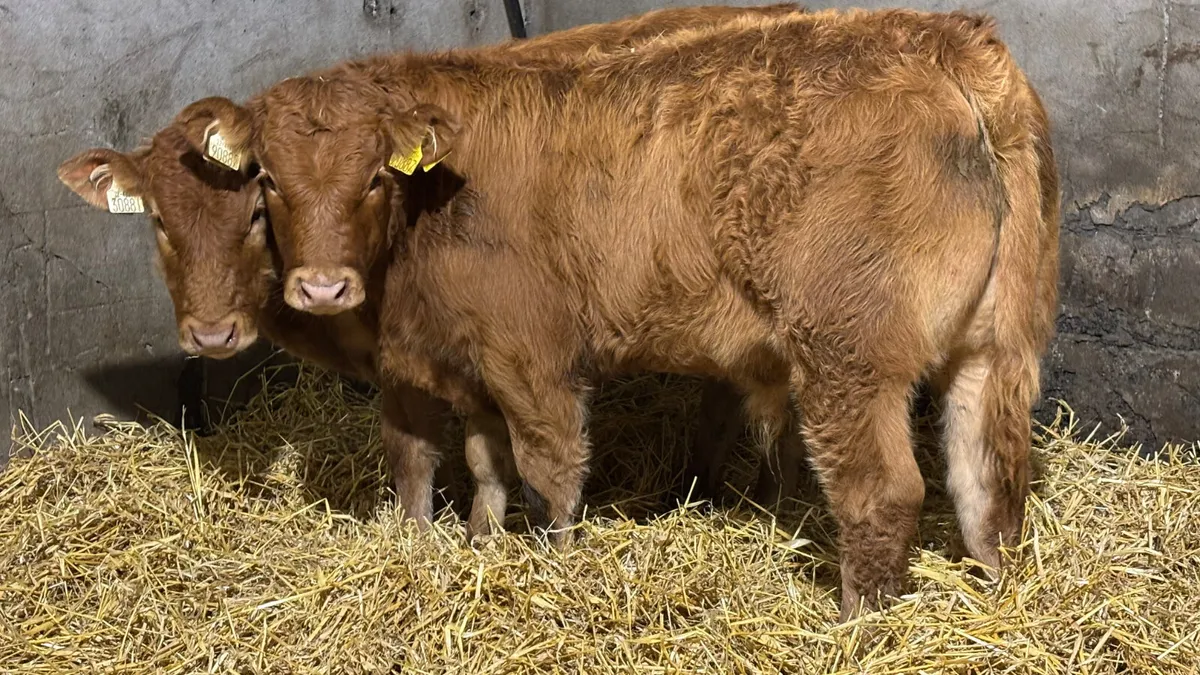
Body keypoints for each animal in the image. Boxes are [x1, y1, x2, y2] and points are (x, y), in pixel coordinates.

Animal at [193, 7, 1060, 619]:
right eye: (268, 181)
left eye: (375, 175)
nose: (321, 286)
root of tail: (947, 39)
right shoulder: (468, 363)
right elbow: (478, 460)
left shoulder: (529, 356)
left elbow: (549, 468)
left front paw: (555, 566)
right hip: (998, 343)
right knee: (988, 480)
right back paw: (997, 596)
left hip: (849, 355)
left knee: (883, 493)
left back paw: (854, 626)